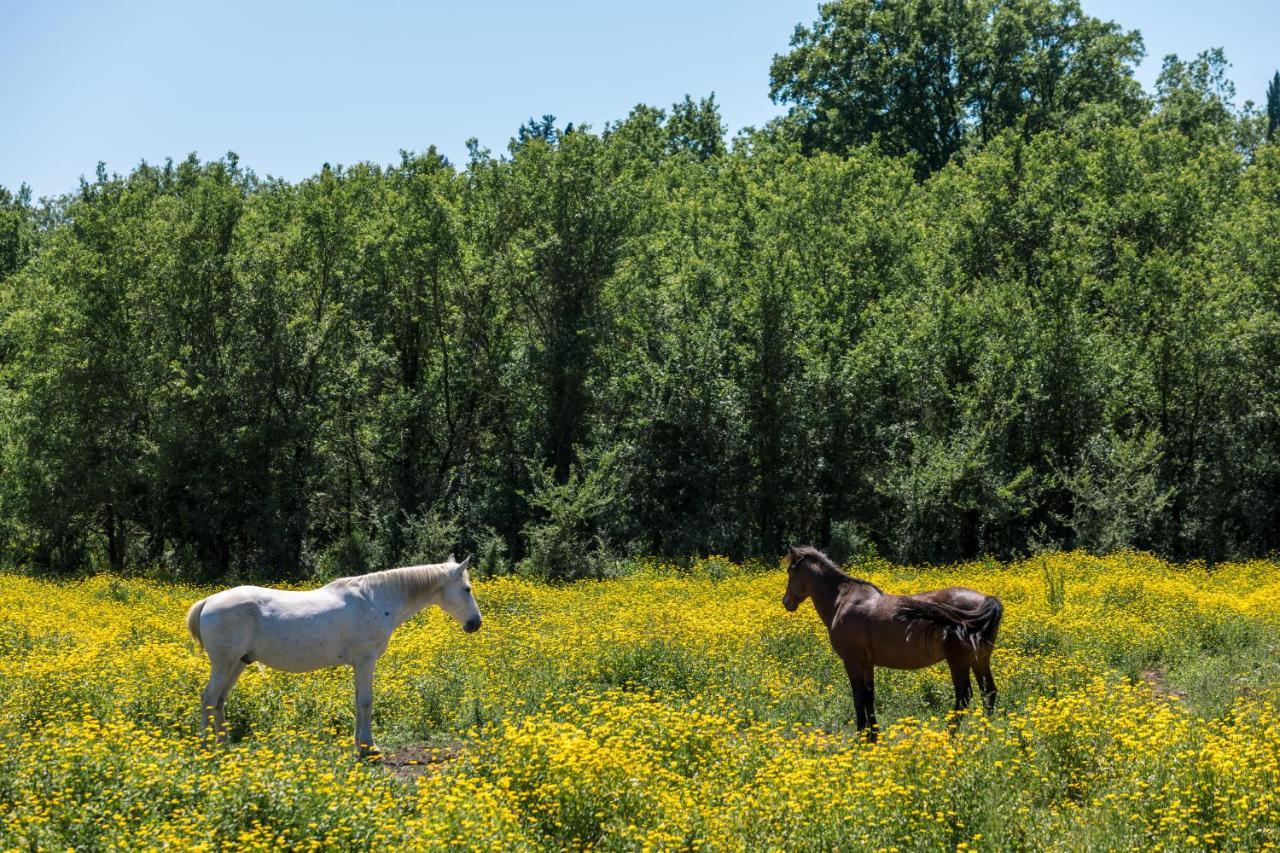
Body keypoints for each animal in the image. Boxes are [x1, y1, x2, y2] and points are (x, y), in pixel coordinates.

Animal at [184, 550, 476, 753]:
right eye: (467, 588)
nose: (475, 623)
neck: (375, 600)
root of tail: (208, 601)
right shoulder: (366, 661)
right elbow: (366, 701)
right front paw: (369, 747)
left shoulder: (359, 664)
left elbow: (358, 701)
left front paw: (360, 743)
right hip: (224, 664)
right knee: (208, 698)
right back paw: (205, 746)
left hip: (238, 663)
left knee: (219, 701)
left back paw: (223, 743)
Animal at [778, 545, 998, 737]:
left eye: (790, 571)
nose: (786, 602)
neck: (843, 601)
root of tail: (987, 599)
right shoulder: (867, 664)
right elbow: (869, 696)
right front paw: (874, 735)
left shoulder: (852, 661)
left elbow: (858, 697)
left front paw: (861, 736)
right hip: (979, 659)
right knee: (989, 692)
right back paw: (986, 733)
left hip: (958, 661)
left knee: (964, 696)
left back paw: (950, 734)